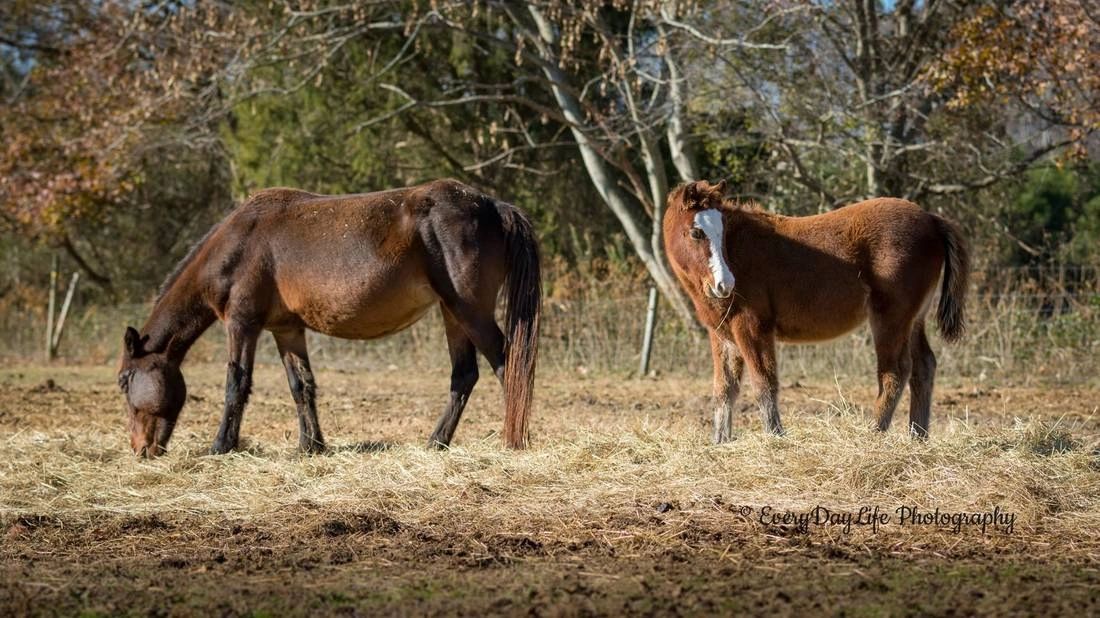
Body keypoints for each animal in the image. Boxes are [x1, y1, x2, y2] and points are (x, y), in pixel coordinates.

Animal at [117, 179, 541, 457]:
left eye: (123, 381)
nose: (140, 449)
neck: (238, 244)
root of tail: (492, 206)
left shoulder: (242, 325)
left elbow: (236, 384)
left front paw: (221, 446)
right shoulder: (286, 330)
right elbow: (301, 385)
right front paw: (311, 446)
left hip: (470, 312)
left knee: (508, 365)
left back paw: (514, 442)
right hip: (452, 314)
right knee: (464, 375)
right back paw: (435, 443)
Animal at [663, 180, 969, 441]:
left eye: (723, 231)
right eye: (696, 232)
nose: (725, 284)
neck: (740, 251)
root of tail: (931, 219)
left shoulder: (752, 326)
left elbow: (764, 383)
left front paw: (775, 437)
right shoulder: (722, 333)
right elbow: (724, 389)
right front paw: (720, 442)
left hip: (890, 318)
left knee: (895, 372)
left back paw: (873, 435)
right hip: (914, 320)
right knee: (924, 367)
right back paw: (917, 437)